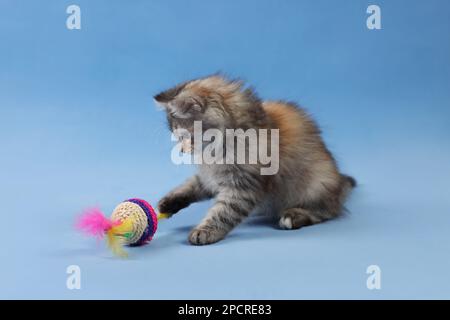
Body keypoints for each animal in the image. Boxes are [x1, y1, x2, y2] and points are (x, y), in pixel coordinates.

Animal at [155, 75, 356, 245]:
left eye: (184, 137)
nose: (182, 150)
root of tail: (339, 182)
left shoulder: (242, 186)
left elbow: (223, 212)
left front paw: (205, 231)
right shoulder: (209, 177)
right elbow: (190, 186)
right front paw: (168, 203)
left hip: (316, 185)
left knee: (325, 211)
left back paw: (292, 217)